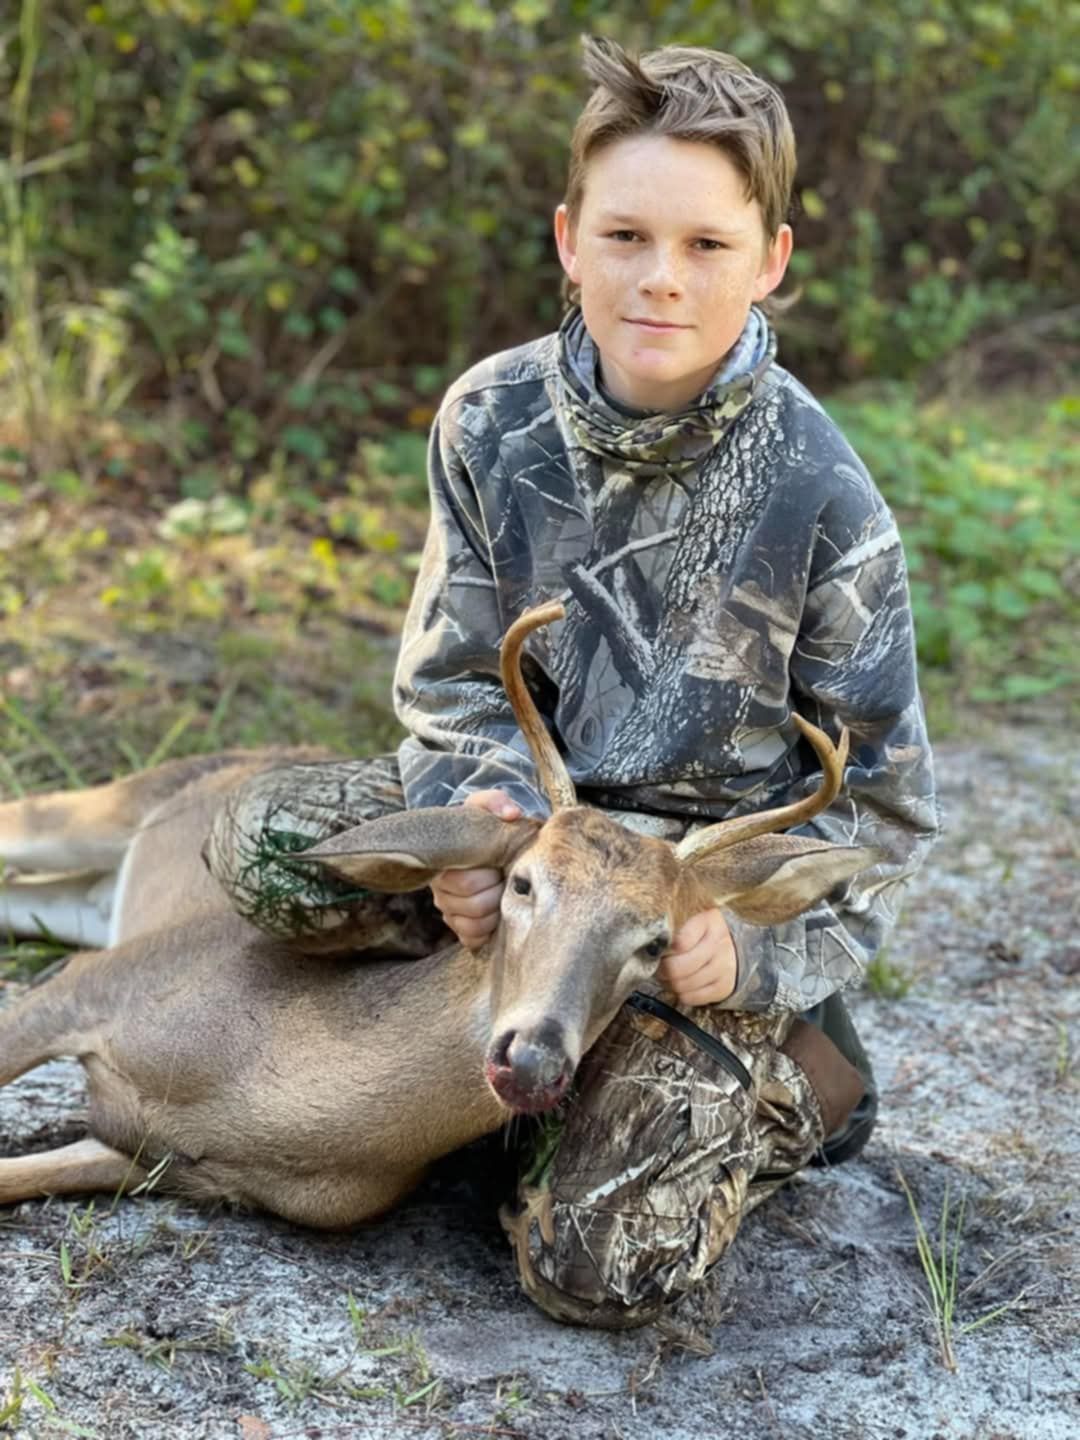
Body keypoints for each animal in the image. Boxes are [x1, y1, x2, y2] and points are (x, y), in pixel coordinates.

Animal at [0, 602, 881, 1227]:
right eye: (522, 883)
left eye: (655, 942)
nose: (531, 1060)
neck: (255, 1090)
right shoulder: (103, 981)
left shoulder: (148, 1158)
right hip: (107, 817)